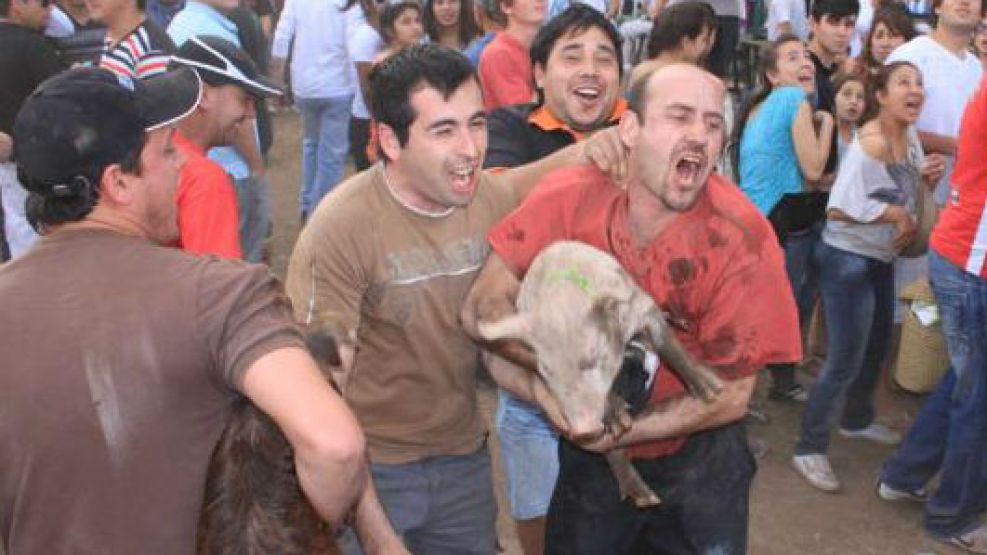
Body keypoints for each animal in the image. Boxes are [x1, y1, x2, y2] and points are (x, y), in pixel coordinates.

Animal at [480, 240, 724, 508]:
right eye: (545, 372)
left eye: (593, 358)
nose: (582, 429)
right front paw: (619, 420)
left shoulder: (640, 305)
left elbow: (667, 343)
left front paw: (712, 391)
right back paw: (645, 499)